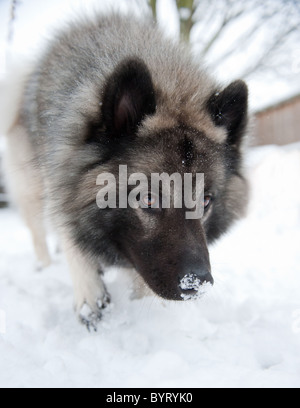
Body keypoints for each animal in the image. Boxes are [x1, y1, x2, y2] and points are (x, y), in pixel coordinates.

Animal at [4, 13, 248, 332]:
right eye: (147, 198)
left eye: (206, 201)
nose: (197, 284)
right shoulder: (61, 173)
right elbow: (72, 236)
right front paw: (90, 299)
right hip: (31, 190)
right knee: (40, 232)